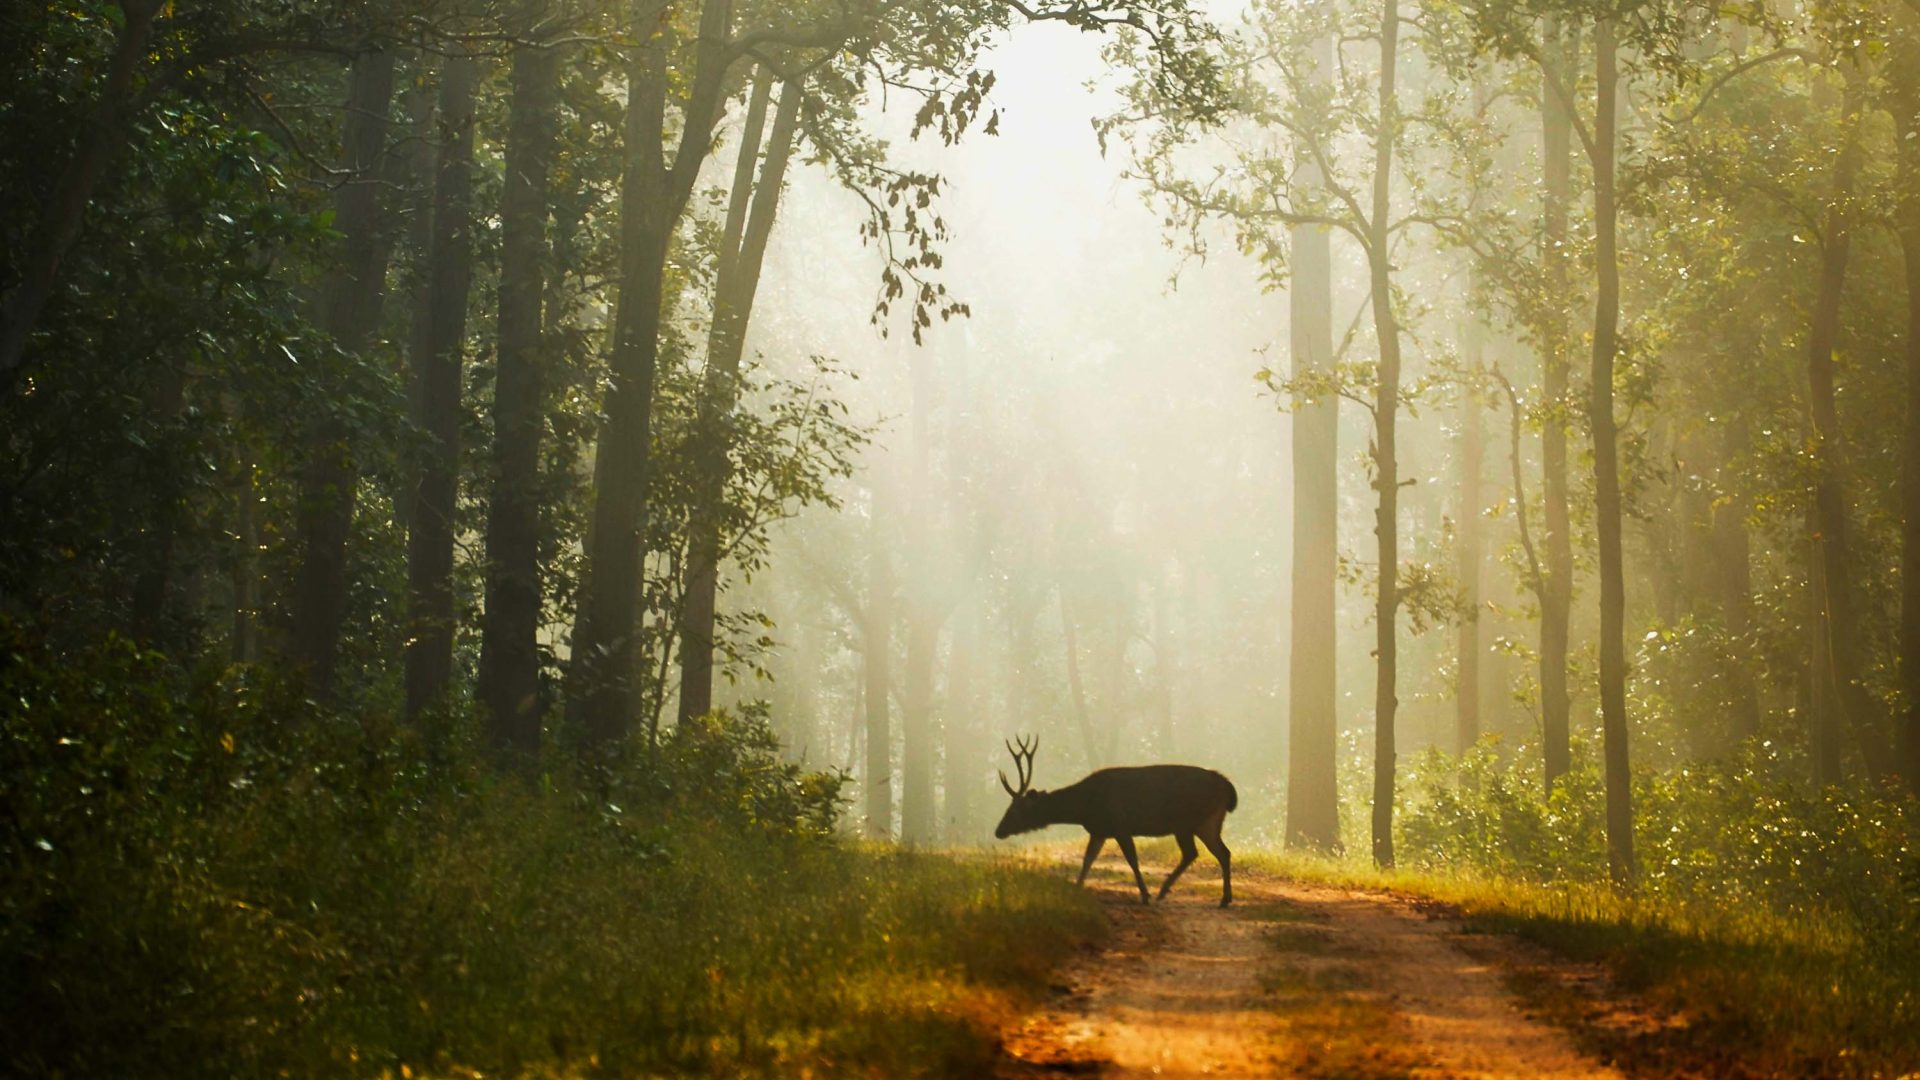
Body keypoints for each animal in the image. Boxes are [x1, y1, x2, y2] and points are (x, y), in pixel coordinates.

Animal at [990, 734, 1244, 903]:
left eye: (1016, 809)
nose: (998, 831)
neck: (1085, 807)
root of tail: (1228, 787)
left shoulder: (1121, 826)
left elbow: (1132, 860)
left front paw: (1144, 894)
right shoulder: (1099, 831)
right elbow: (1088, 859)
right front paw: (1076, 888)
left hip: (1190, 821)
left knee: (1199, 853)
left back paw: (1176, 893)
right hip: (1207, 822)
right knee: (1218, 852)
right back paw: (1218, 898)